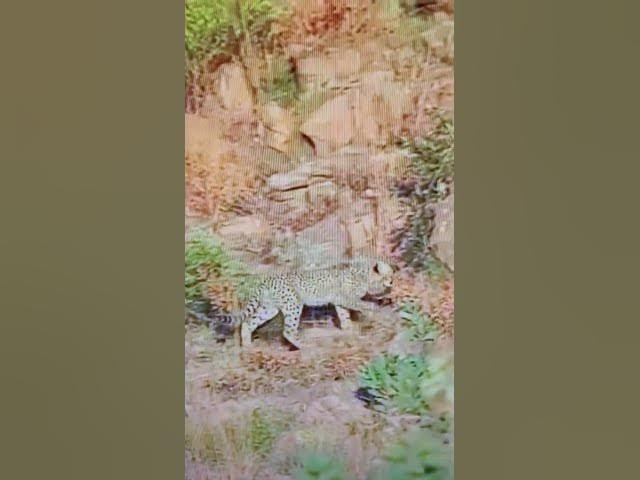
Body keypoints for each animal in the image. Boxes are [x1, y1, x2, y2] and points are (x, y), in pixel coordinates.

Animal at [208, 256, 394, 350]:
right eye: (389, 274)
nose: (392, 281)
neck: (364, 273)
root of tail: (266, 280)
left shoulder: (339, 299)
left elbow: (344, 315)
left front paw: (349, 328)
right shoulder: (344, 297)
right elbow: (360, 304)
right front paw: (372, 309)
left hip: (269, 309)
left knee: (248, 323)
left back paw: (247, 346)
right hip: (293, 304)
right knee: (288, 331)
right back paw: (305, 345)